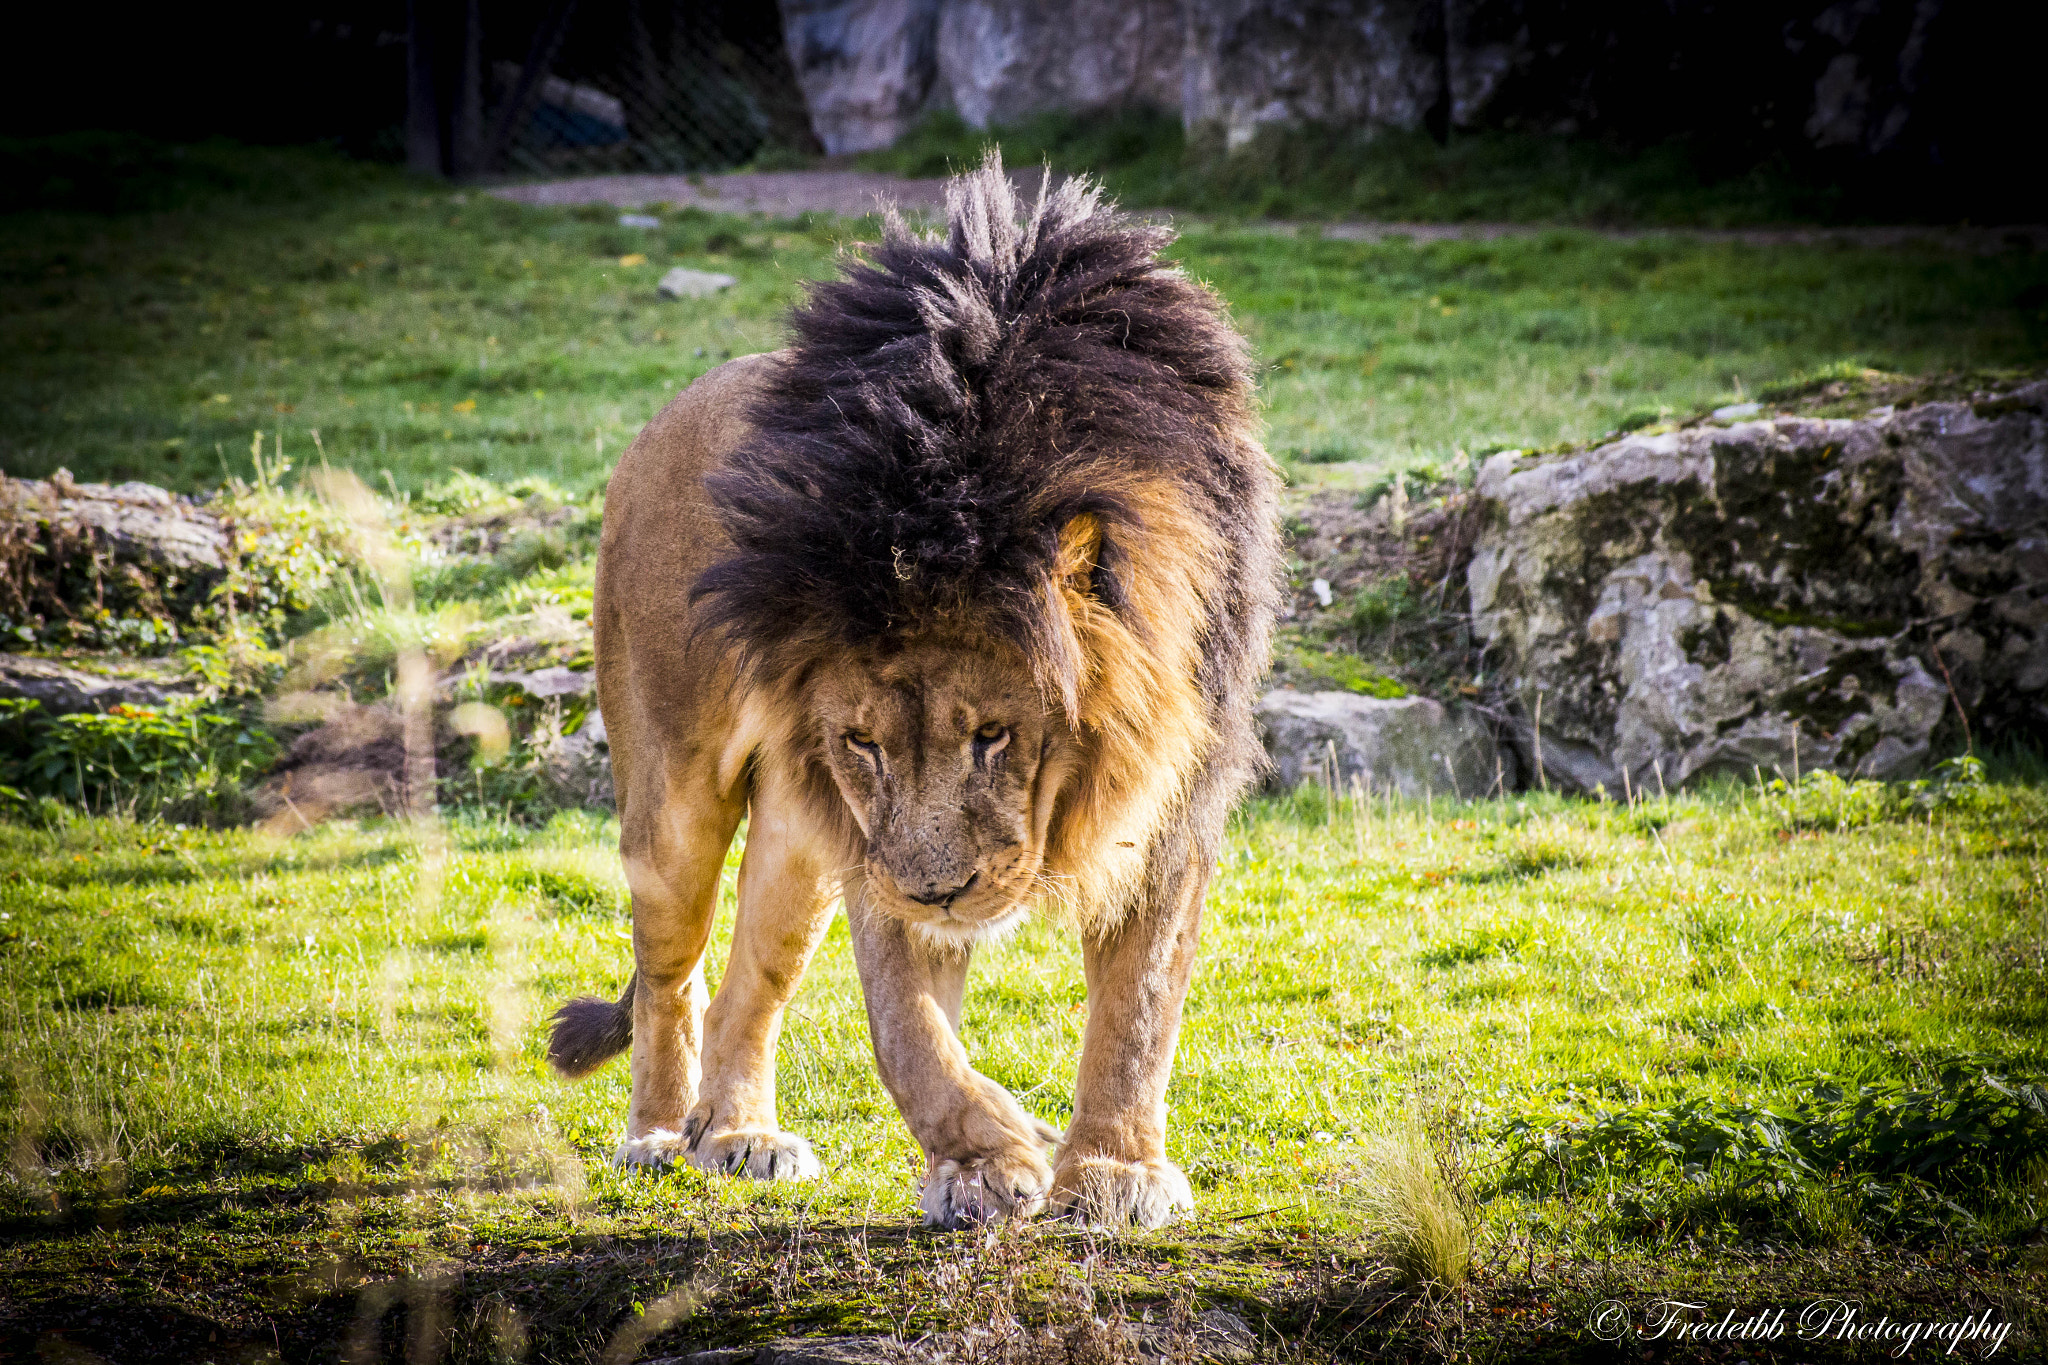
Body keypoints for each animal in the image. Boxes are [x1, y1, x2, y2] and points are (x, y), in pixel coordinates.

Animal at [548, 154, 1277, 1236]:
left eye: (993, 735)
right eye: (864, 742)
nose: (938, 890)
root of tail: (664, 414)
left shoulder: (1173, 790)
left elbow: (1139, 1006)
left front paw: (1110, 1171)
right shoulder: (876, 837)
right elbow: (909, 1029)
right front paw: (985, 1161)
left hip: (795, 836)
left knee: (749, 980)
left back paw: (737, 1135)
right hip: (675, 801)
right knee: (668, 974)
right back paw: (657, 1133)